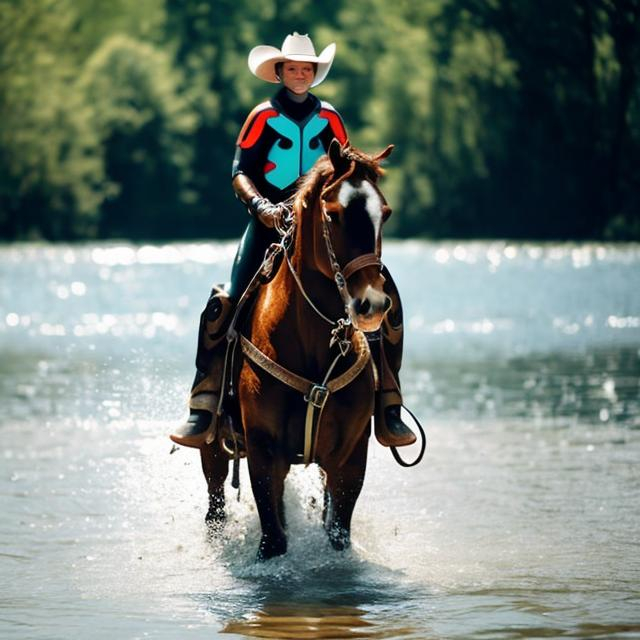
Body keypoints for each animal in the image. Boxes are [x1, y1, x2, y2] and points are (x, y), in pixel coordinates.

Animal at [199, 141, 396, 560]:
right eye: (334, 214)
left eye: (384, 213)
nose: (372, 304)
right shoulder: (264, 450)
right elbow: (273, 539)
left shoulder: (349, 457)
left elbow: (337, 531)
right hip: (213, 447)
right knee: (215, 499)